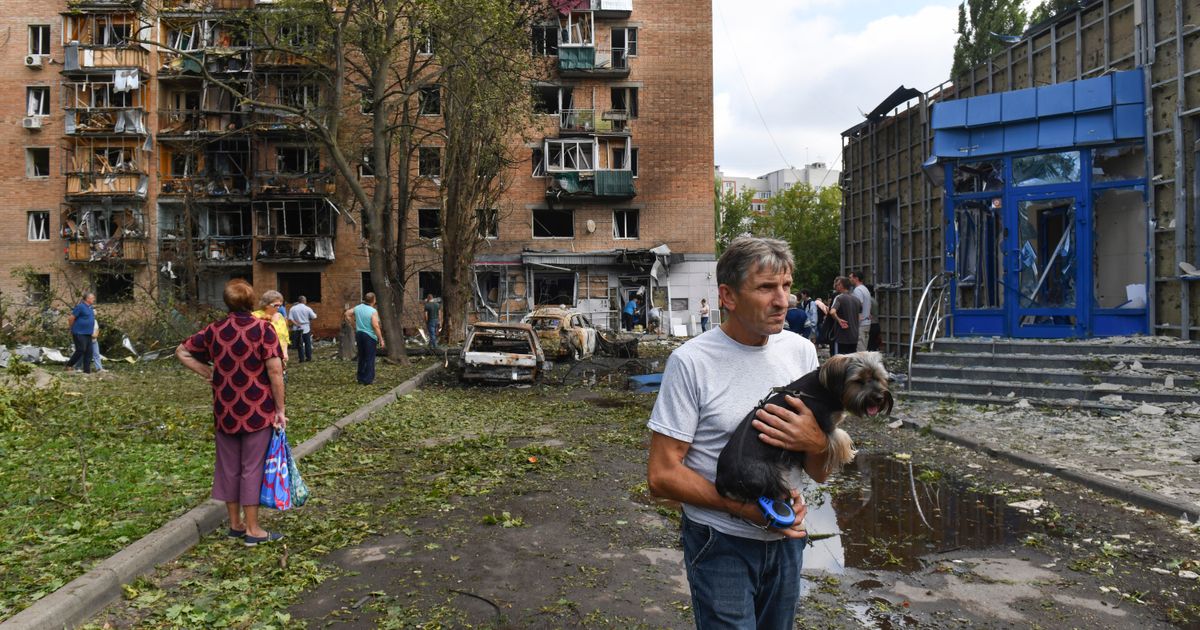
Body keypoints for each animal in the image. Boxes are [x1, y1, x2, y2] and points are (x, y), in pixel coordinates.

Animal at [710, 350, 892, 513]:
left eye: (878, 378)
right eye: (859, 381)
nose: (878, 398)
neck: (825, 388)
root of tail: (721, 482)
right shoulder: (827, 426)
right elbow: (841, 437)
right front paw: (849, 452)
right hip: (772, 478)